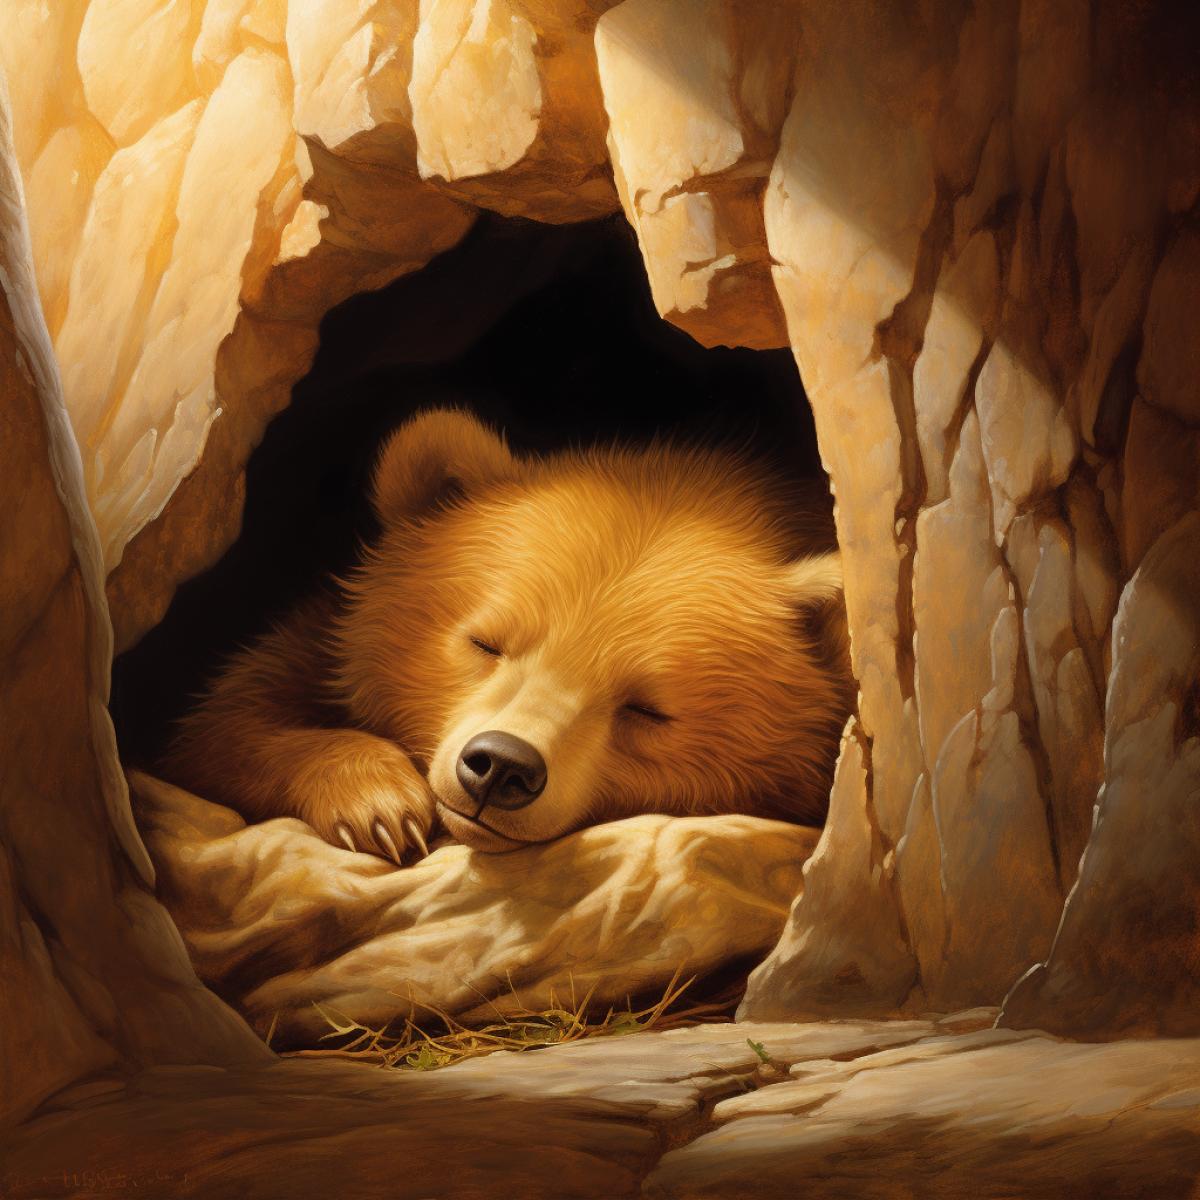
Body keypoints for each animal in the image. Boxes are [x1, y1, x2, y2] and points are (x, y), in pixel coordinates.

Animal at [163, 409, 853, 863]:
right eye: (485, 642)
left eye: (647, 709)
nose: (499, 766)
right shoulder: (324, 636)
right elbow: (227, 722)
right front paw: (379, 805)